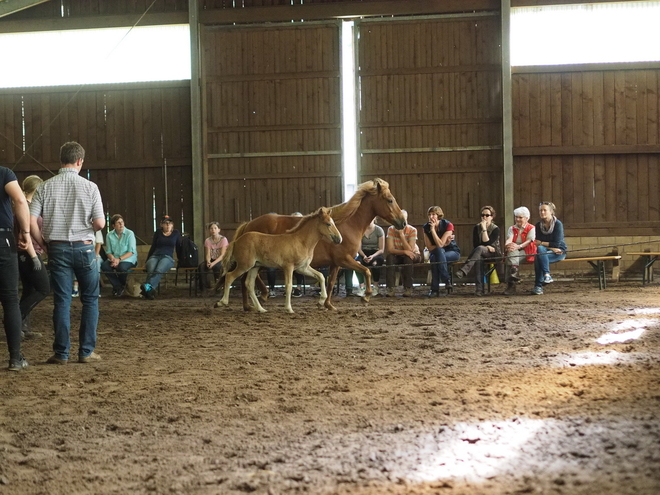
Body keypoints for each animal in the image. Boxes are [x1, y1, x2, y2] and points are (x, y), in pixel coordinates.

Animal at [220, 178, 408, 310]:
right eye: (390, 200)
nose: (403, 222)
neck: (348, 224)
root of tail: (248, 225)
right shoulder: (345, 260)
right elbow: (367, 271)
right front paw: (366, 296)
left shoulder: (335, 264)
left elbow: (330, 283)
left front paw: (326, 304)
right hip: (254, 262)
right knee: (242, 278)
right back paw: (254, 300)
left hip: (256, 262)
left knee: (245, 279)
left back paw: (250, 304)